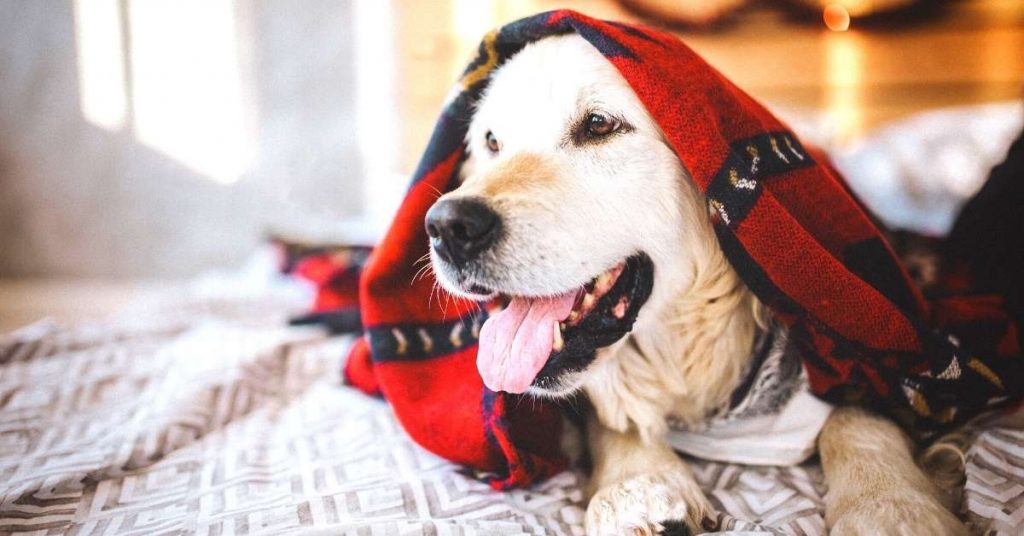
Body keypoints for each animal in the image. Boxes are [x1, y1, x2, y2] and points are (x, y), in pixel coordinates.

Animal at [419, 34, 962, 536]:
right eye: (491, 143)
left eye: (599, 125)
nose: (447, 227)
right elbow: (615, 416)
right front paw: (639, 485)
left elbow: (861, 415)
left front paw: (889, 506)